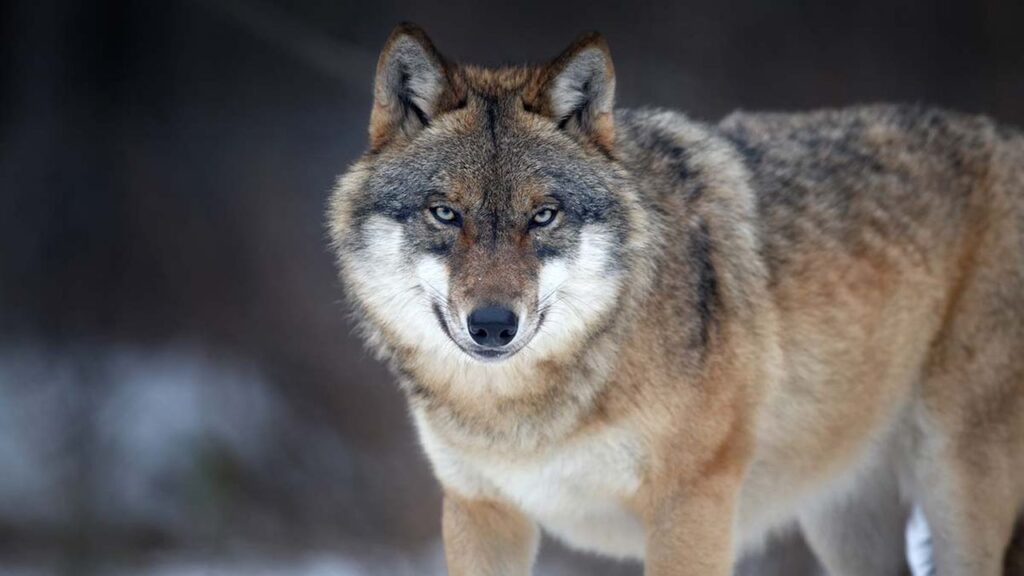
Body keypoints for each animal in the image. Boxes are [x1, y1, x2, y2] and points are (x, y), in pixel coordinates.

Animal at [327, 23, 1024, 576]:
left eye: (544, 216)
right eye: (445, 213)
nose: (493, 326)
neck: (524, 415)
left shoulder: (692, 505)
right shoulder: (481, 511)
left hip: (953, 487)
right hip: (844, 520)